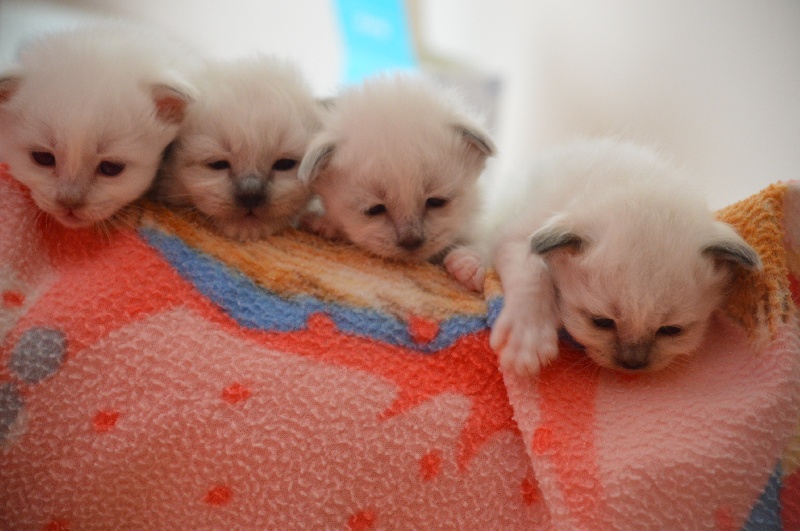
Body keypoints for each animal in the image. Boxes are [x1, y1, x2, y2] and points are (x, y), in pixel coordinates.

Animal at [296, 75, 490, 286]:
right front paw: (324, 223)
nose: (411, 241)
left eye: (437, 201)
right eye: (374, 209)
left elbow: (485, 243)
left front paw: (468, 263)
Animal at [484, 139, 760, 376]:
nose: (633, 363)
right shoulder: (515, 234)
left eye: (671, 330)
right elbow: (533, 271)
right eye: (601, 322)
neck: (626, 179)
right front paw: (526, 341)